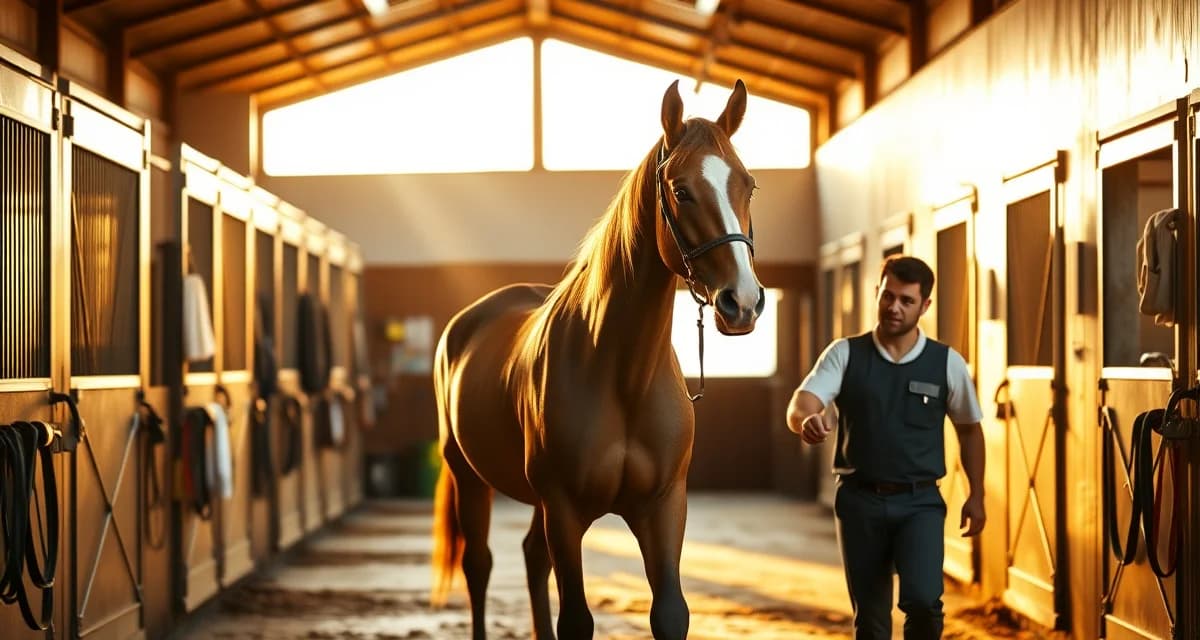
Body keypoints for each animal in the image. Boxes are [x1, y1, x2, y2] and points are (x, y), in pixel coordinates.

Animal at [430, 78, 765, 640]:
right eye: (681, 190)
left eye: (749, 185)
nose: (742, 302)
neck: (620, 374)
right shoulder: (564, 510)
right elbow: (576, 619)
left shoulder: (663, 507)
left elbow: (670, 613)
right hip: (469, 478)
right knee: (479, 565)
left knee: (531, 558)